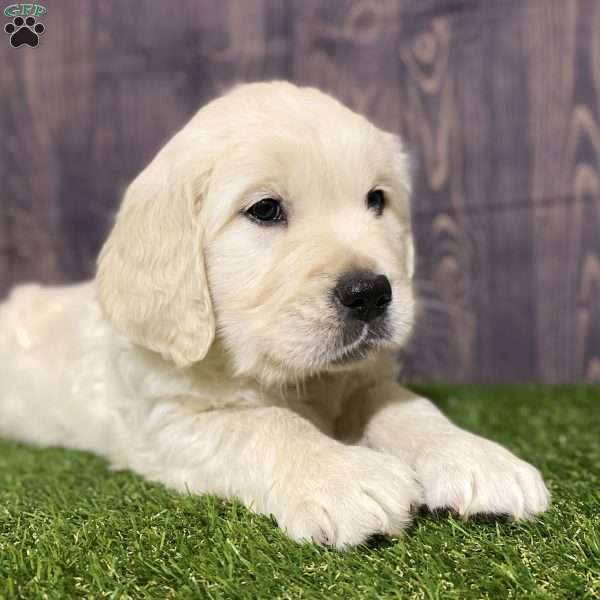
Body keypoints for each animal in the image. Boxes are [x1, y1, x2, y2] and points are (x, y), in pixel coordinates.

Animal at [0, 82, 548, 548]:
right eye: (265, 210)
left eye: (377, 199)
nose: (371, 293)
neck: (294, 377)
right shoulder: (168, 420)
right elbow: (267, 425)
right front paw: (345, 478)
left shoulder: (362, 379)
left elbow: (407, 407)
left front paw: (474, 457)